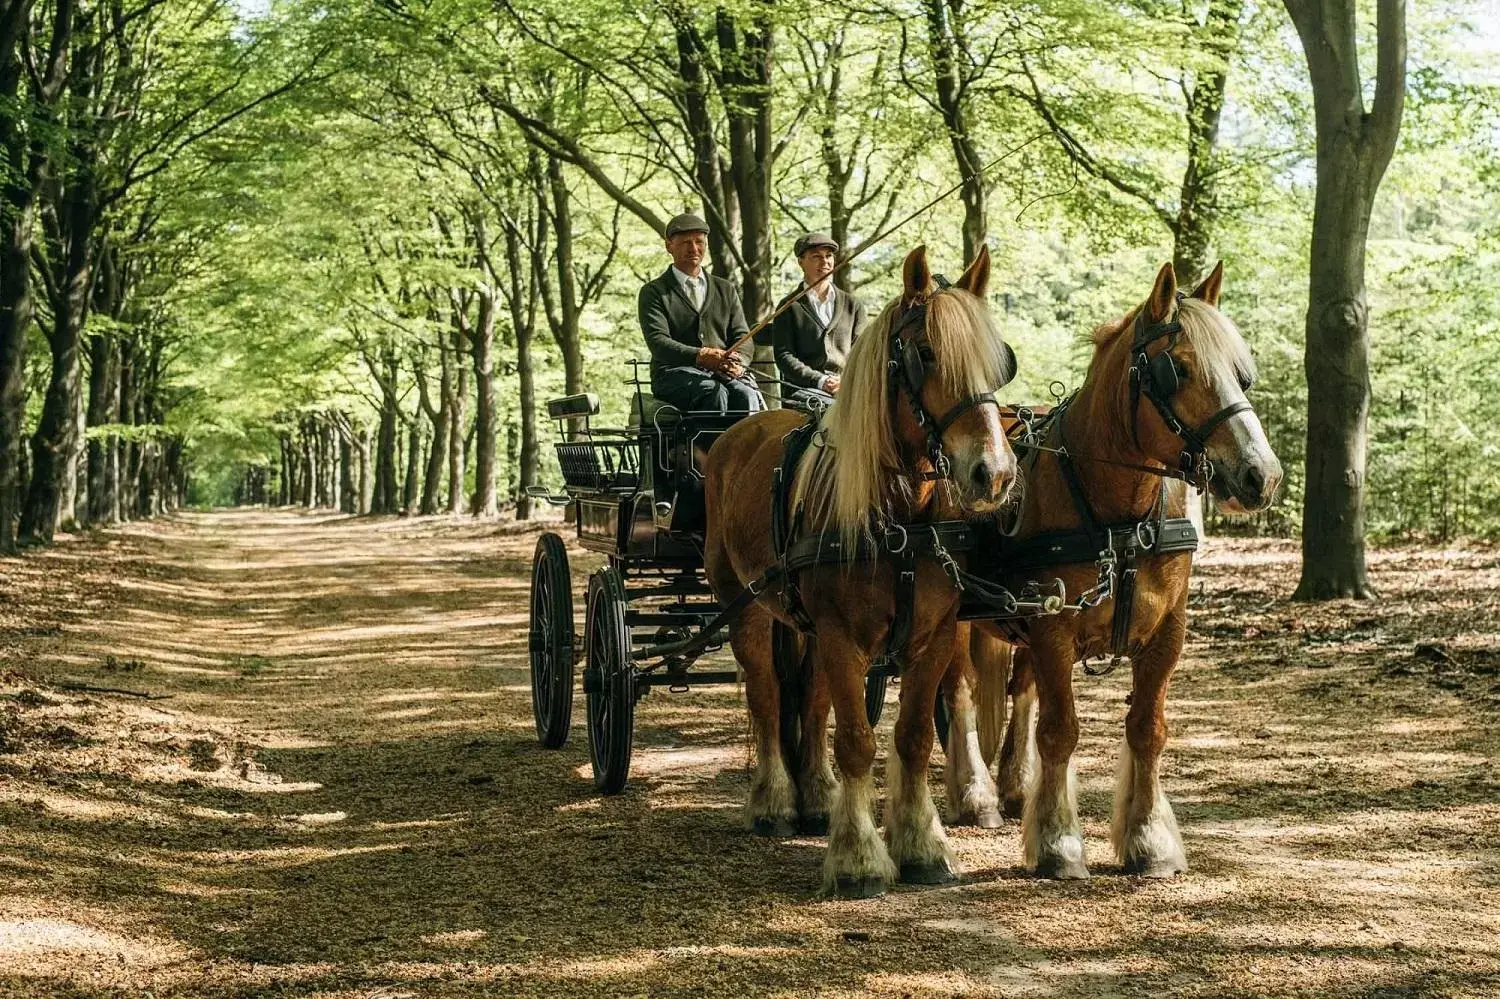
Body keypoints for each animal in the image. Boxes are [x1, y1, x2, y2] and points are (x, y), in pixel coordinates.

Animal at [702, 241, 1020, 894]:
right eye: (925, 354)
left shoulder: (932, 636)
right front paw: (857, 859)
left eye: (1001, 362)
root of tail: (735, 434)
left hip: (807, 627)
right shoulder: (842, 637)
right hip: (747, 610)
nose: (994, 474)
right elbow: (854, 741)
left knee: (810, 699)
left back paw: (816, 797)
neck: (900, 516)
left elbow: (913, 737)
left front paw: (921, 846)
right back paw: (774, 802)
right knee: (767, 696)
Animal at [972, 261, 1290, 876]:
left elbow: (1147, 729)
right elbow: (1060, 731)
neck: (1117, 513)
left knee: (1019, 690)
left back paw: (1014, 787)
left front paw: (1148, 839)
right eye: (1178, 369)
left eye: (1242, 373)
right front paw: (1058, 842)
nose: (1261, 476)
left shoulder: (1167, 632)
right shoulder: (1052, 629)